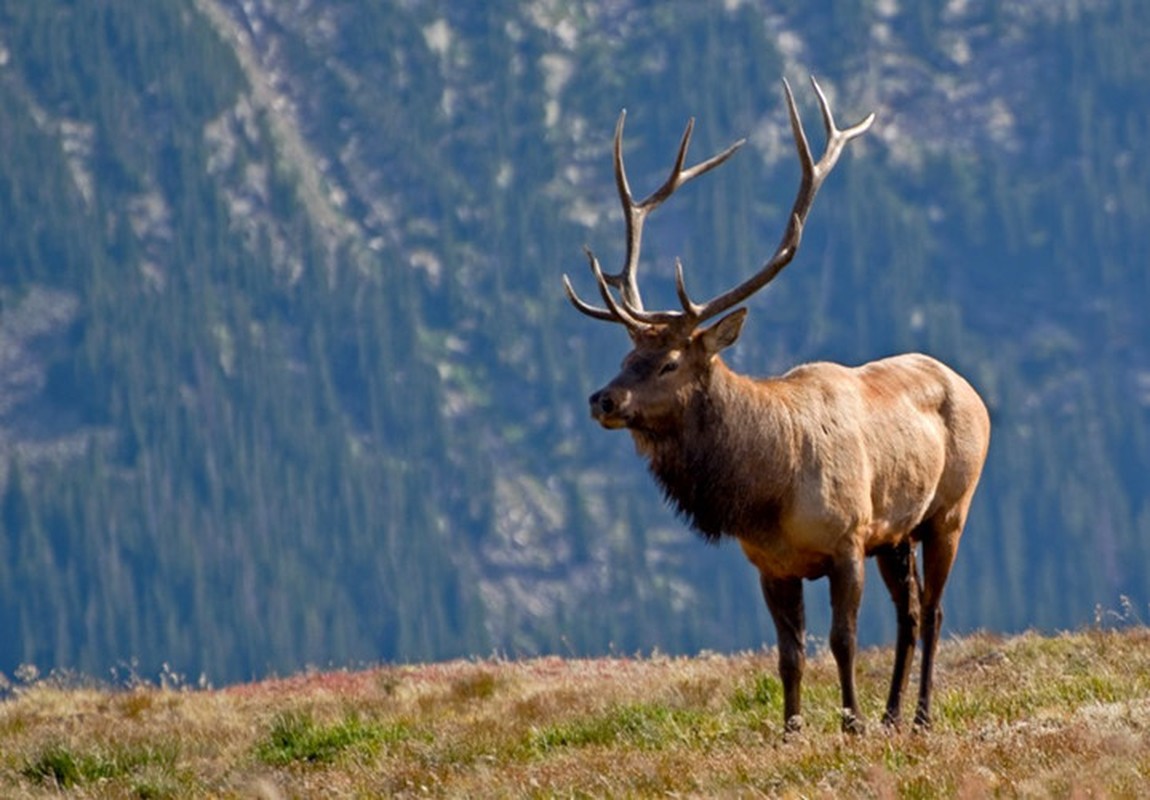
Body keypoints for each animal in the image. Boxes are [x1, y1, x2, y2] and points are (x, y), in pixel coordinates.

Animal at [563, 78, 989, 735]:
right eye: (627, 354)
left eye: (669, 362)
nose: (602, 399)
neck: (768, 489)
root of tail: (971, 390)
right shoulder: (770, 565)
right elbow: (789, 655)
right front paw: (791, 731)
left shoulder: (847, 540)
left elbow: (842, 640)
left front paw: (850, 723)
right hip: (897, 533)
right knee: (911, 615)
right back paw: (893, 714)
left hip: (949, 510)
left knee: (936, 611)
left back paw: (917, 716)